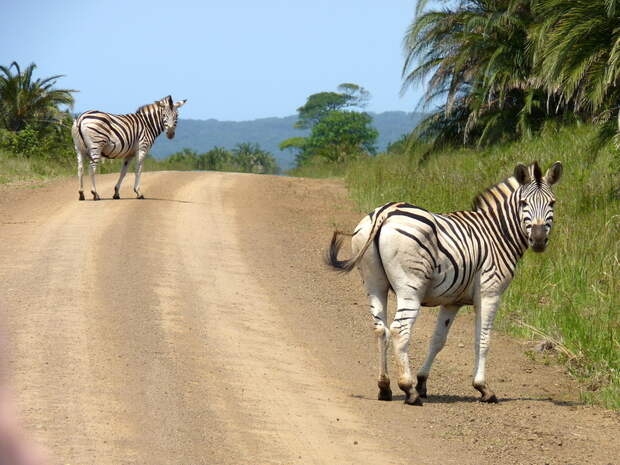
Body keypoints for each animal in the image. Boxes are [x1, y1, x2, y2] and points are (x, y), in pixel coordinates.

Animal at [326, 161, 564, 404]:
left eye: (552, 203)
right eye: (524, 203)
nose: (538, 240)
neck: (497, 233)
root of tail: (386, 211)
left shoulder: (452, 301)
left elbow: (438, 340)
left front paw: (422, 382)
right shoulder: (490, 292)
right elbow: (483, 339)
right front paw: (482, 387)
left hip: (374, 284)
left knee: (380, 329)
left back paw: (385, 387)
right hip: (410, 287)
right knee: (399, 330)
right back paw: (408, 390)